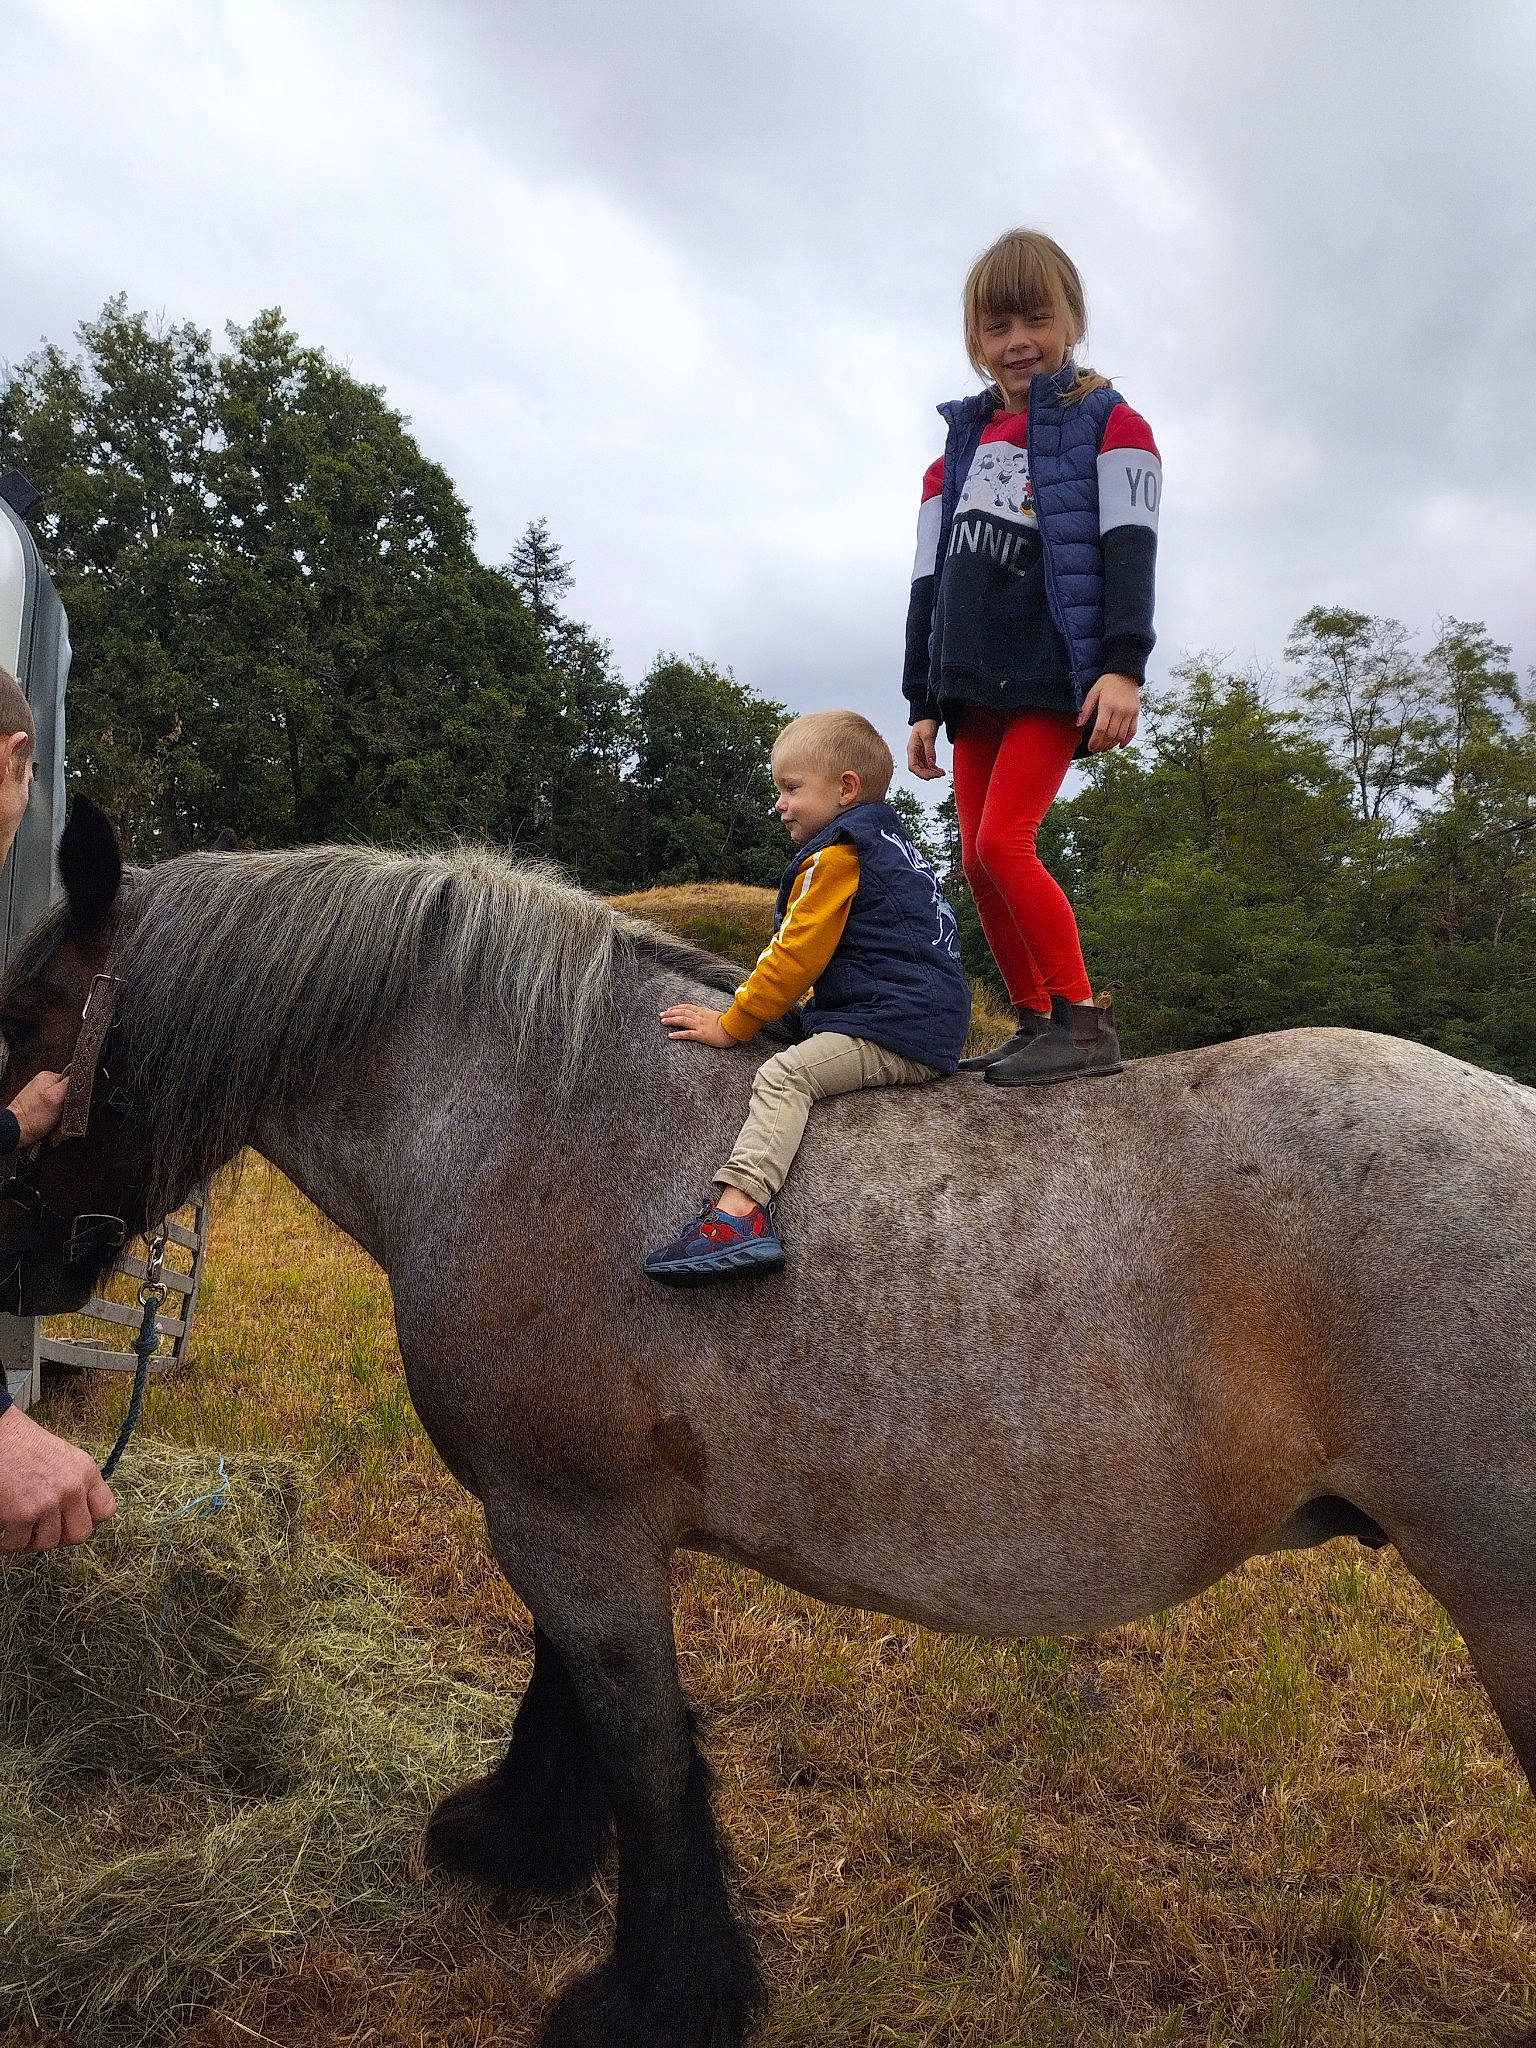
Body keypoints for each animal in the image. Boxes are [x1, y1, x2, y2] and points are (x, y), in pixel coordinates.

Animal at [4, 794, 1536, 2048]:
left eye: (29, 1020)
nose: (19, 1266)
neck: (540, 1116)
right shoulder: (576, 1518)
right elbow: (572, 1698)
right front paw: (515, 1844)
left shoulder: (569, 1522)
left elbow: (643, 1750)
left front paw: (653, 1996)